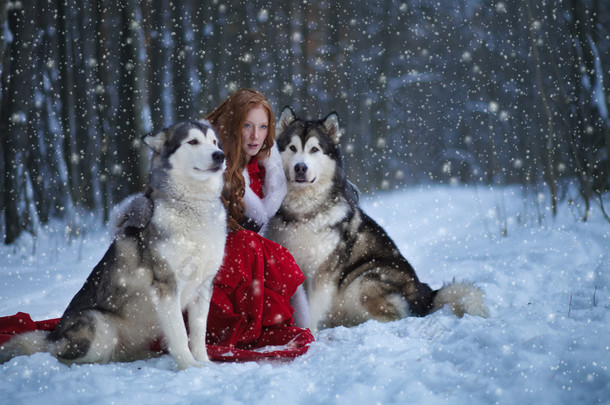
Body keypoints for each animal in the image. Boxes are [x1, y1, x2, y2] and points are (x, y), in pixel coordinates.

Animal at [0, 120, 226, 370]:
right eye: (193, 141)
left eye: (214, 142)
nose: (220, 155)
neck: (194, 209)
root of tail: (52, 336)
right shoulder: (166, 284)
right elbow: (178, 333)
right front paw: (189, 366)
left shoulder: (203, 286)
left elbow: (198, 333)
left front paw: (204, 362)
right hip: (98, 325)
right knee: (62, 356)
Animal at [266, 107, 490, 332]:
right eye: (292, 147)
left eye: (314, 149)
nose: (300, 167)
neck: (304, 212)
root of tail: (425, 295)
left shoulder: (321, 272)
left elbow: (312, 309)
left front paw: (309, 332)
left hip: (366, 279)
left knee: (395, 316)